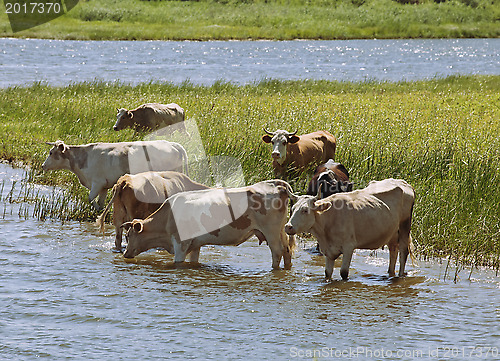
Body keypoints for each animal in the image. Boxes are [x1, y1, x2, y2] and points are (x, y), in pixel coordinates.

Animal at [41, 140, 188, 210]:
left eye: (51, 152)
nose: (43, 165)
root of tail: (172, 144)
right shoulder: (104, 186)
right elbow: (100, 202)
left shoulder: (97, 183)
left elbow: (90, 199)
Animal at [120, 179, 294, 268]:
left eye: (128, 235)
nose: (125, 253)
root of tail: (278, 184)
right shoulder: (195, 245)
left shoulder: (180, 244)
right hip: (280, 231)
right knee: (287, 251)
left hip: (271, 232)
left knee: (277, 252)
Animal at [284, 179, 416, 280]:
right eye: (293, 208)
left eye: (305, 210)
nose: (288, 226)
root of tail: (404, 183)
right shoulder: (328, 251)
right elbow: (327, 273)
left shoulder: (349, 247)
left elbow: (343, 272)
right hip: (392, 232)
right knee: (393, 250)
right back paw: (390, 273)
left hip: (405, 226)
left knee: (403, 252)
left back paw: (400, 276)